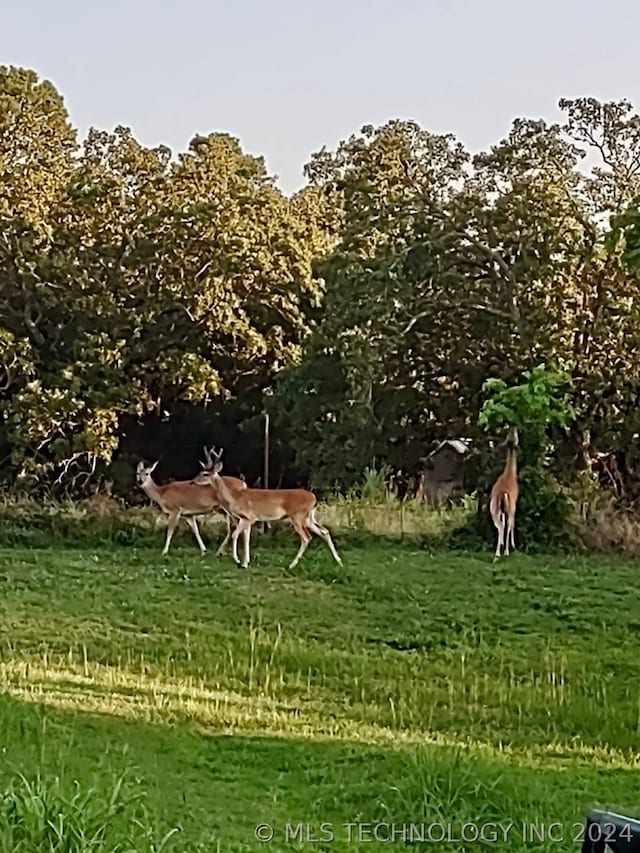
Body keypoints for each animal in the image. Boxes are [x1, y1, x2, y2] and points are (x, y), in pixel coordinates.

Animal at [190, 446, 342, 572]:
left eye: (205, 474)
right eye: (201, 471)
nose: (192, 481)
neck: (235, 497)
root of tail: (313, 498)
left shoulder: (249, 517)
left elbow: (235, 535)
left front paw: (238, 560)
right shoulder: (246, 520)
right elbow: (246, 538)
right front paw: (245, 563)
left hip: (298, 516)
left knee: (307, 537)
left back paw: (291, 565)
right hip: (309, 517)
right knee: (324, 532)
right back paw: (338, 561)